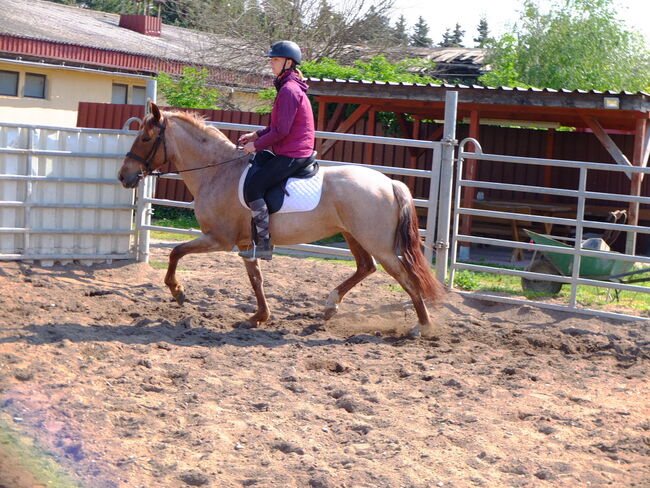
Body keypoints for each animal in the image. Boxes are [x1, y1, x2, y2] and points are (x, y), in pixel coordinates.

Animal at [116, 102, 442, 340]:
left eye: (146, 138)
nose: (124, 176)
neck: (217, 172)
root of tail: (389, 183)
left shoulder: (219, 239)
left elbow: (175, 252)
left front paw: (178, 291)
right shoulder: (246, 243)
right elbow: (256, 279)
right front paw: (258, 317)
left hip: (379, 244)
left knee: (405, 278)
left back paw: (422, 327)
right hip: (353, 236)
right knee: (366, 267)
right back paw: (330, 306)